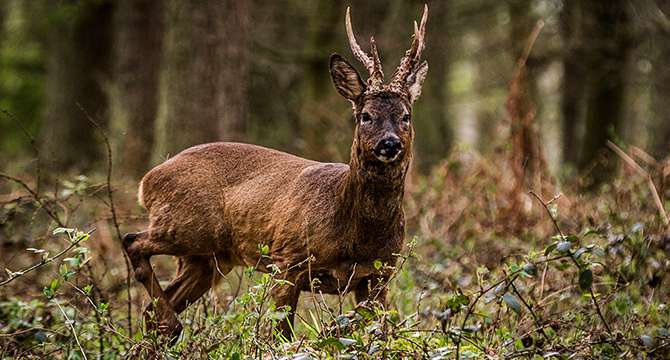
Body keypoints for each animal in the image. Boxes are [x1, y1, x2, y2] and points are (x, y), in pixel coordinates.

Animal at [124, 4, 430, 338]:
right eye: (366, 116)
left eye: (406, 116)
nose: (390, 143)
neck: (355, 233)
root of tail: (147, 181)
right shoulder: (287, 260)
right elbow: (283, 336)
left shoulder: (379, 275)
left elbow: (373, 331)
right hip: (187, 225)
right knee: (132, 241)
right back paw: (172, 321)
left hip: (206, 258)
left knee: (151, 310)